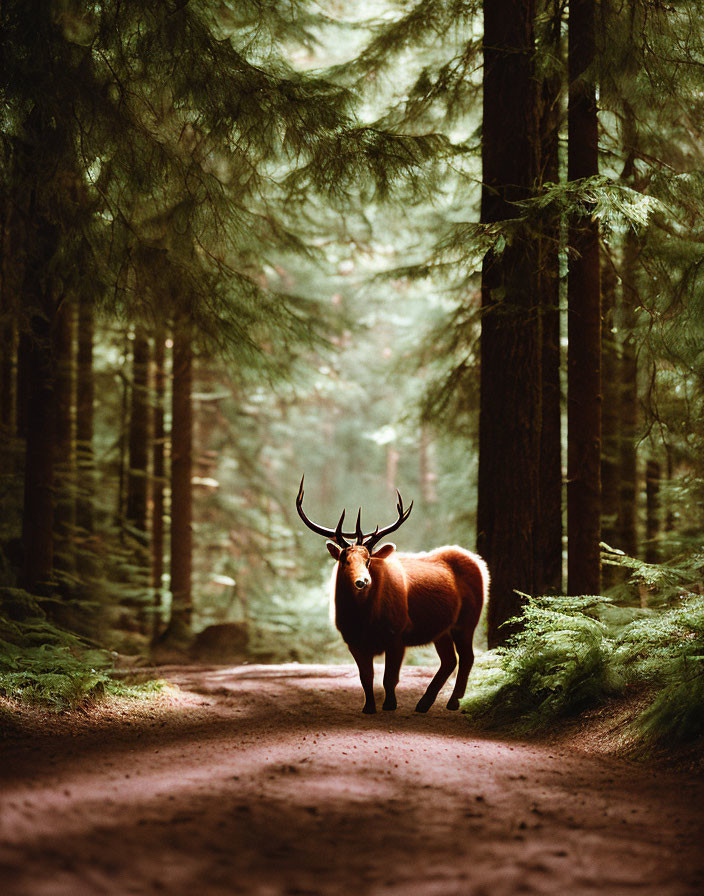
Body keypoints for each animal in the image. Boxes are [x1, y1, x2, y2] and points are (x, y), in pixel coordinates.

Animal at [294, 476, 486, 712]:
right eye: (344, 559)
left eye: (368, 559)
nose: (362, 581)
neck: (364, 620)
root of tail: (479, 562)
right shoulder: (352, 640)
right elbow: (366, 678)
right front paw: (368, 707)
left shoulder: (397, 632)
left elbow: (389, 678)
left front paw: (390, 705)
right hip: (442, 629)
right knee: (449, 660)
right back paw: (424, 703)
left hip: (467, 620)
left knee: (467, 657)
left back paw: (453, 702)